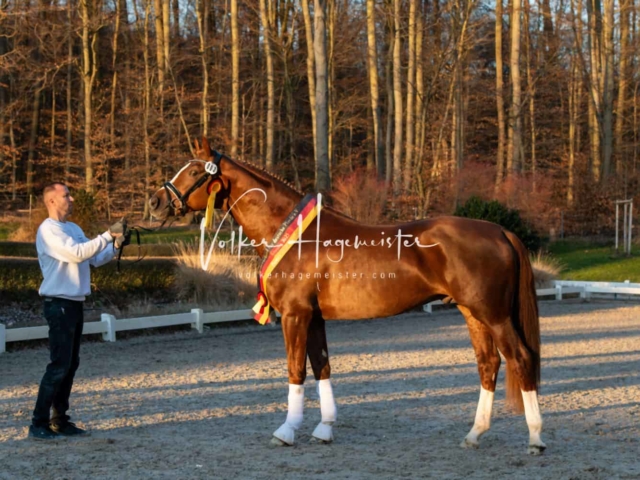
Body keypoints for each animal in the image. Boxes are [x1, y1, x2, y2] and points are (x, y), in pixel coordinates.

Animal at [149, 139, 544, 454]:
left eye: (194, 171)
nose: (155, 201)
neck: (295, 235)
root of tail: (501, 231)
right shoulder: (314, 318)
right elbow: (321, 366)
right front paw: (324, 429)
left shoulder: (295, 315)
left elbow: (295, 370)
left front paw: (286, 431)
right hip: (471, 312)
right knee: (488, 364)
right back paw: (475, 434)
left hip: (493, 314)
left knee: (521, 359)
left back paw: (536, 438)